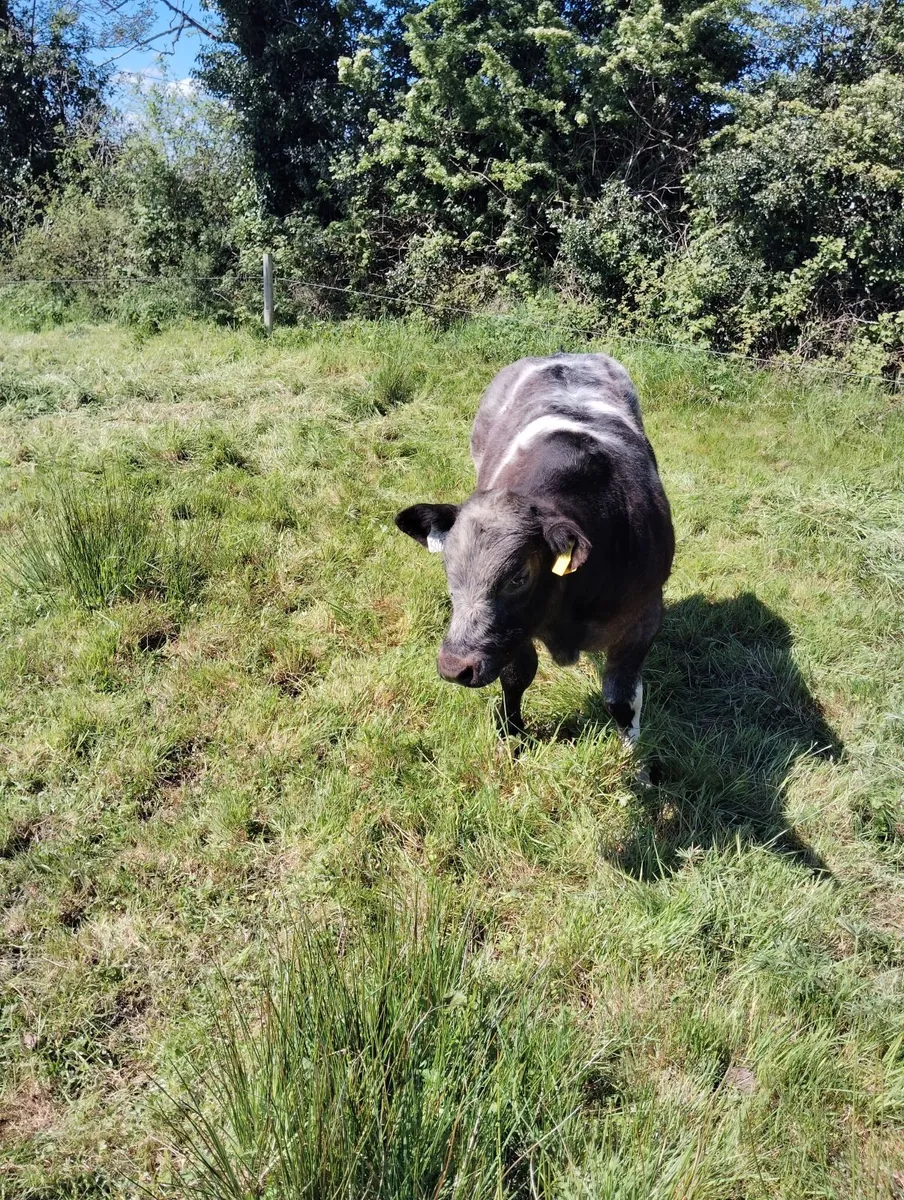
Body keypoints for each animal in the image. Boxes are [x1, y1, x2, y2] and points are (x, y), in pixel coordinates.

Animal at [395, 353, 674, 744]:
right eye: (448, 568)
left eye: (518, 577)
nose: (454, 667)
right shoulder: (516, 632)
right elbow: (516, 677)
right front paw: (512, 733)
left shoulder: (645, 615)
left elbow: (621, 698)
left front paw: (631, 753)